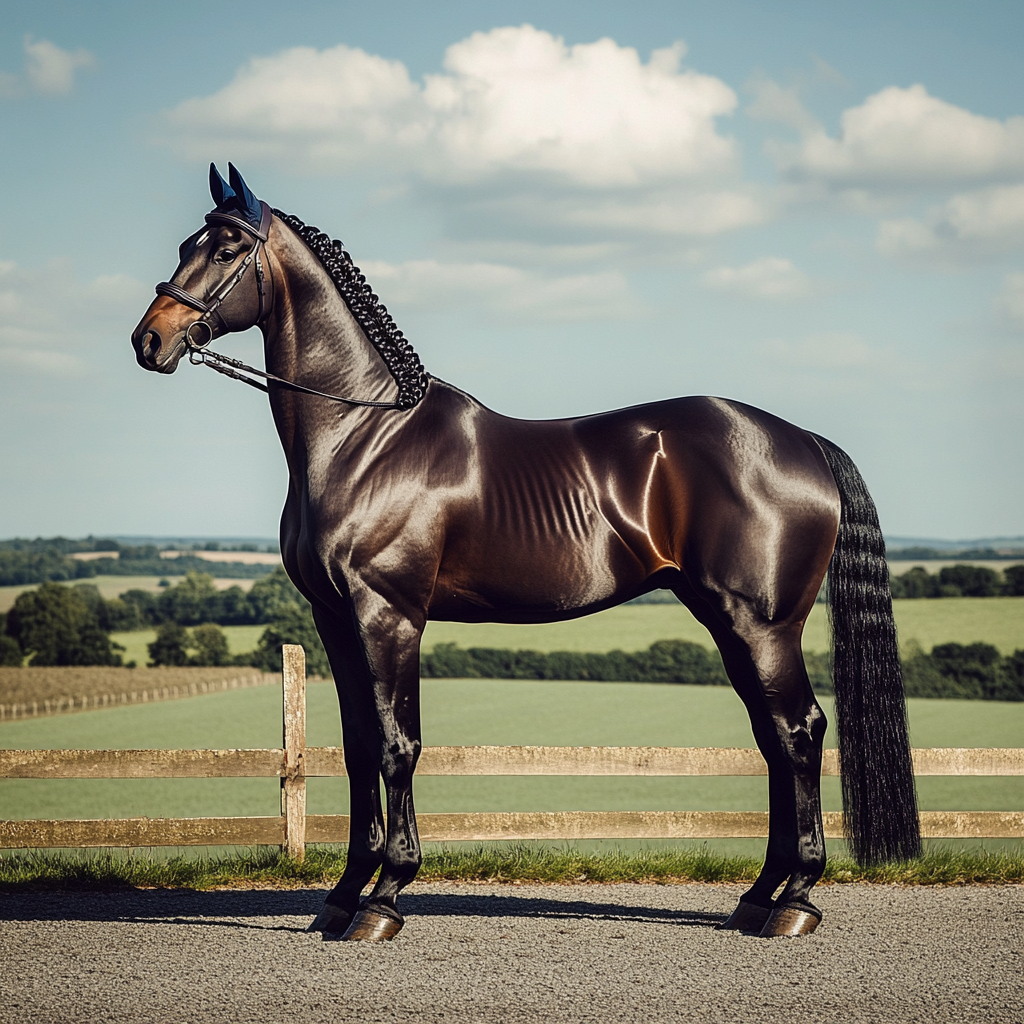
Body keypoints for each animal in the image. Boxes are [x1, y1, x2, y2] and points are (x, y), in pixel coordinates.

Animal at [130, 163, 921, 937]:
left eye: (225, 250)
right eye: (186, 245)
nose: (150, 340)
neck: (365, 435)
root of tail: (802, 441)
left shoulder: (389, 616)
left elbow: (396, 744)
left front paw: (384, 899)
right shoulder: (334, 618)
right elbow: (358, 749)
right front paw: (343, 896)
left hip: (762, 624)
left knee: (798, 733)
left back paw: (796, 901)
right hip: (731, 623)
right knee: (773, 739)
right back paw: (759, 896)